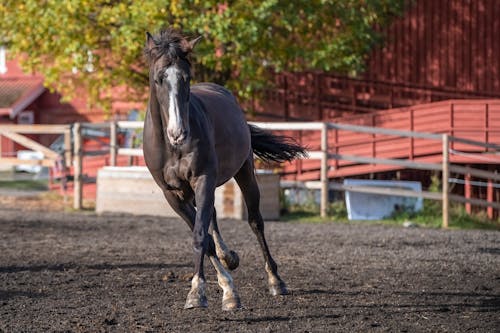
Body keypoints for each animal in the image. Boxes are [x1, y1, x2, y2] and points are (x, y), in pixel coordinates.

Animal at [141, 27, 304, 308]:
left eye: (186, 77)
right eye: (158, 78)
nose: (178, 133)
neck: (171, 148)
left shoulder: (203, 179)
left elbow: (199, 234)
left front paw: (198, 293)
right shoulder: (172, 194)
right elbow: (204, 236)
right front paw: (225, 287)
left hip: (245, 172)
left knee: (255, 221)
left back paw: (275, 281)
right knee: (213, 218)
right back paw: (228, 259)